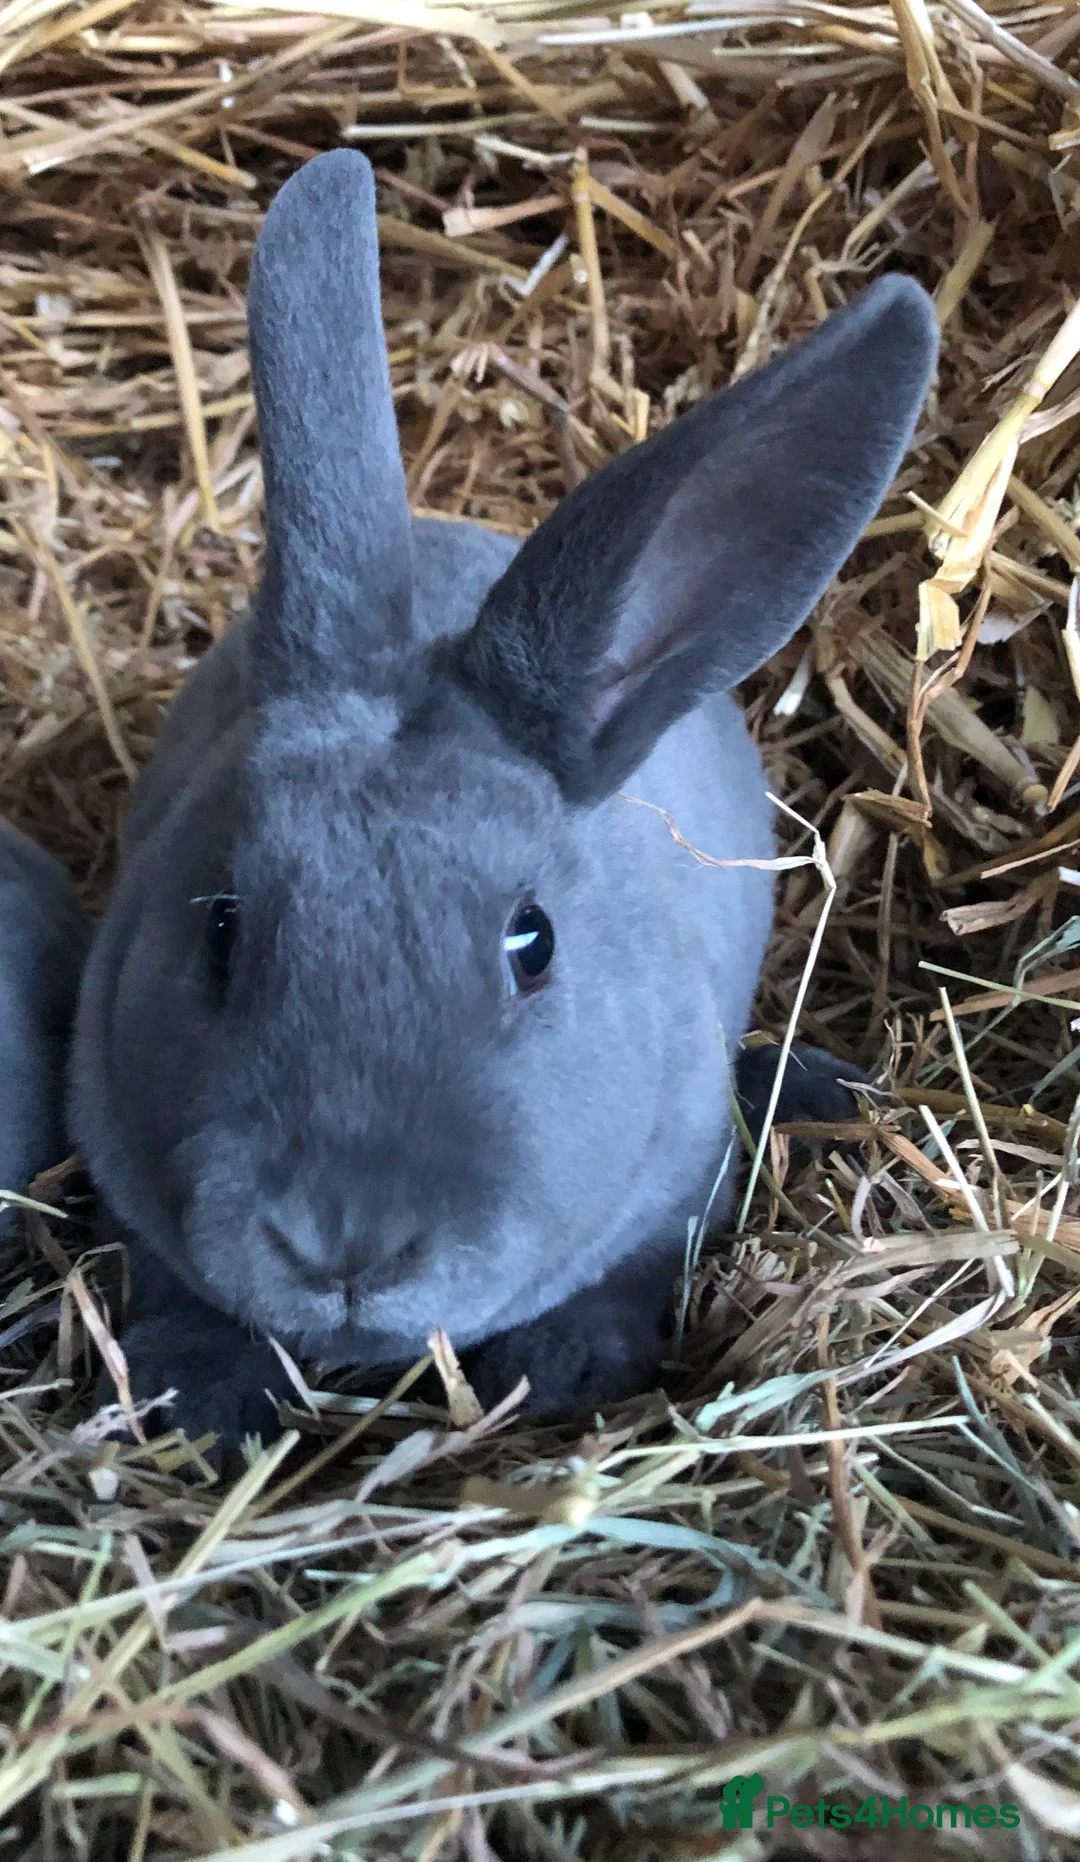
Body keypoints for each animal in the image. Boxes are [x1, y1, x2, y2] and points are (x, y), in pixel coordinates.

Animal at [72, 149, 937, 1454]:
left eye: (533, 945)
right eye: (219, 929)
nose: (343, 1244)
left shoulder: (668, 1191)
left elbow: (622, 1277)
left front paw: (567, 1366)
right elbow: (177, 1289)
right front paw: (210, 1398)